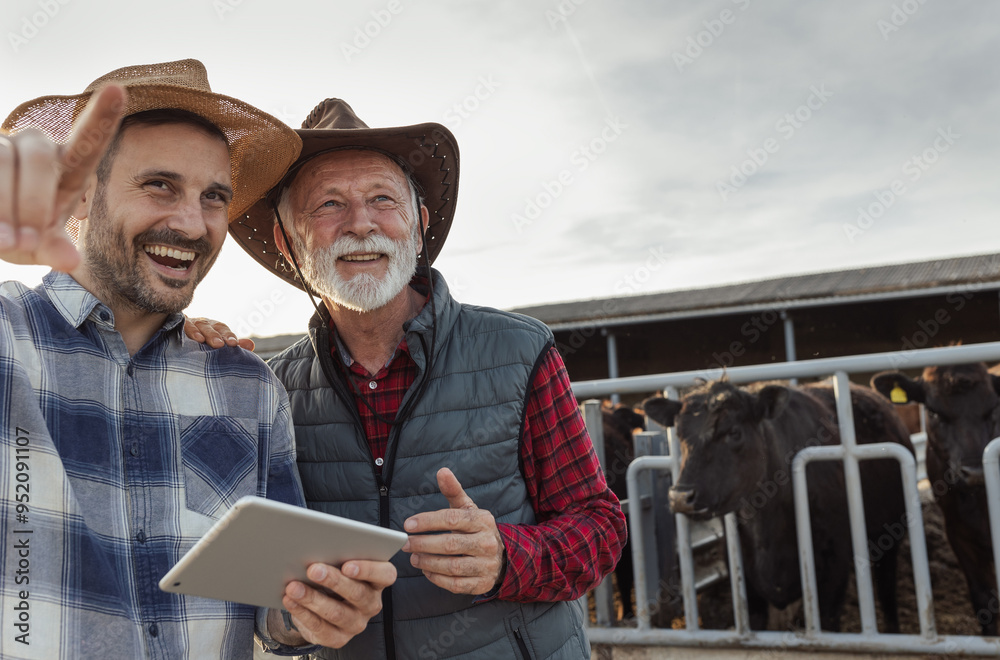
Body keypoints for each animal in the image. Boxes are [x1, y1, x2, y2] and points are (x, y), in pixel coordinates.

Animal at [644, 378, 912, 632]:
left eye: (734, 432)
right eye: (679, 435)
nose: (681, 497)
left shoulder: (835, 565)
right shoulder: (744, 579)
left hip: (889, 535)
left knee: (887, 590)